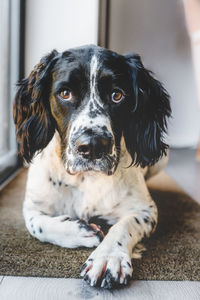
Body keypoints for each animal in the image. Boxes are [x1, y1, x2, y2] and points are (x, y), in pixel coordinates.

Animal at [13, 44, 171, 288]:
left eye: (117, 95)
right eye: (65, 93)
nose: (93, 145)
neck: (84, 178)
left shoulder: (145, 210)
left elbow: (124, 225)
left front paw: (108, 257)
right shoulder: (32, 206)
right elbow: (37, 225)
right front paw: (80, 231)